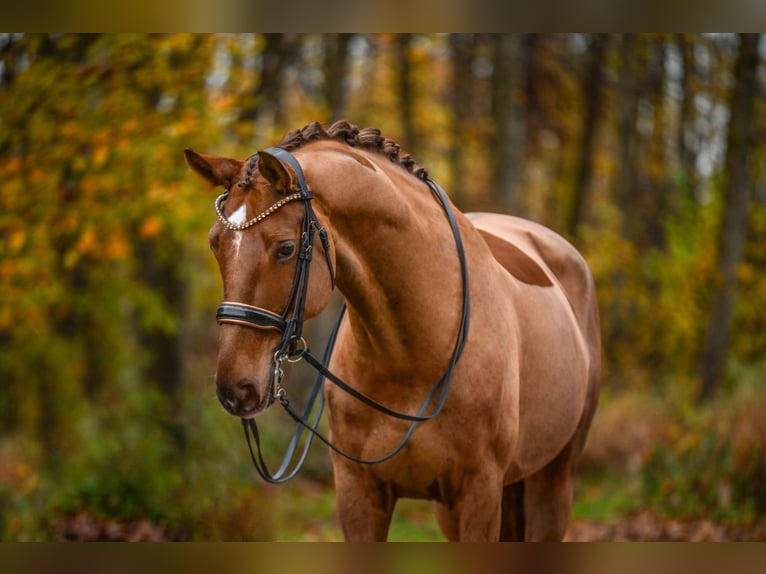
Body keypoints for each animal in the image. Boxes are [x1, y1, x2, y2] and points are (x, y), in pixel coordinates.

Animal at [184, 119, 600, 544]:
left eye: (285, 248)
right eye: (215, 245)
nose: (235, 389)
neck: (411, 355)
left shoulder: (479, 493)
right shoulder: (359, 494)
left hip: (552, 481)